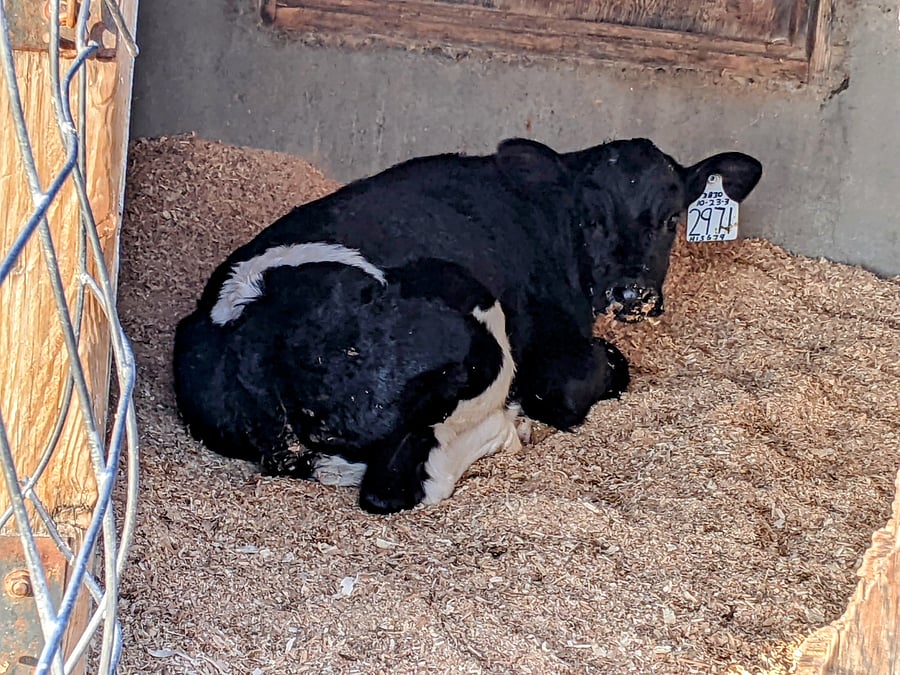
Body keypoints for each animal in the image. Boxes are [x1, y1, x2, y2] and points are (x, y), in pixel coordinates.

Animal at [173, 137, 762, 514]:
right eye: (590, 219)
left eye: (671, 219)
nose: (630, 293)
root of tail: (253, 332)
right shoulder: (550, 353)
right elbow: (574, 385)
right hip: (469, 316)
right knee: (403, 484)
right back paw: (510, 425)